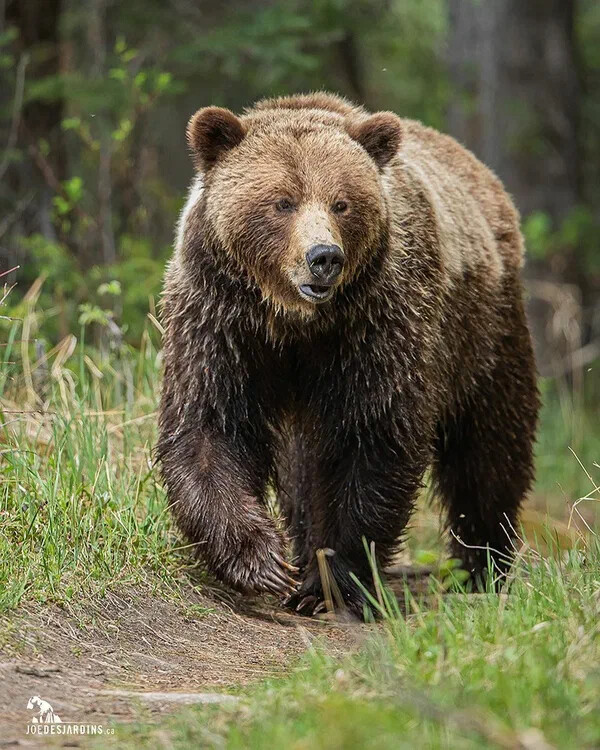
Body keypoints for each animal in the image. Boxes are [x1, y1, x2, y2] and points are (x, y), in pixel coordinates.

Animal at [157, 92, 540, 617]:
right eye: (283, 201)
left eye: (342, 203)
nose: (324, 257)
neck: (295, 321)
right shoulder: (221, 319)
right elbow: (208, 426)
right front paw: (263, 561)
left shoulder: (378, 325)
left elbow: (374, 438)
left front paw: (331, 582)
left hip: (484, 332)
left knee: (488, 451)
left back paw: (483, 566)